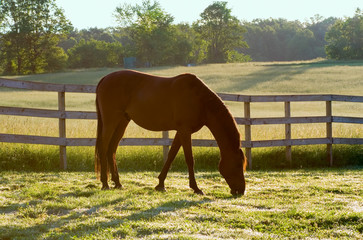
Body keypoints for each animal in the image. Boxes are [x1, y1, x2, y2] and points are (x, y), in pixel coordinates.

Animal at [95, 69, 247, 195]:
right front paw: (196, 188)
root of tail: (104, 79)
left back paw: (117, 183)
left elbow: (171, 156)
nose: (241, 190)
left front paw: (160, 184)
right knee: (103, 148)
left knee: (111, 149)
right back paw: (105, 184)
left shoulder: (180, 132)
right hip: (110, 122)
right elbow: (189, 159)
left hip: (122, 122)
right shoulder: (185, 131)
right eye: (238, 164)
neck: (199, 100)